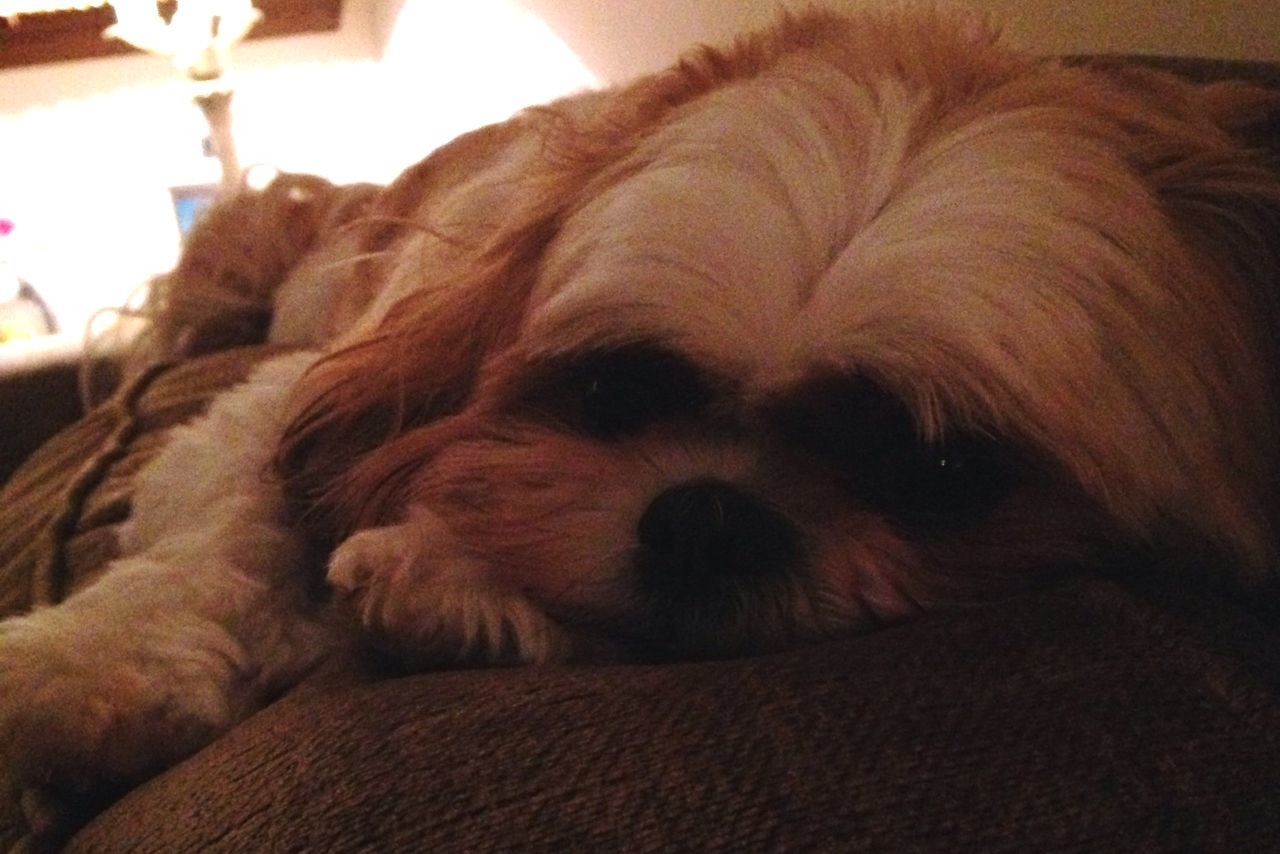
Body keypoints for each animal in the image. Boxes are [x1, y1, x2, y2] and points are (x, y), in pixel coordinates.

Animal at [2, 1, 1280, 839]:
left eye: (939, 469)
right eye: (610, 394)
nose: (711, 516)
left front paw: (451, 578)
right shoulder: (311, 386)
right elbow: (229, 522)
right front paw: (94, 669)